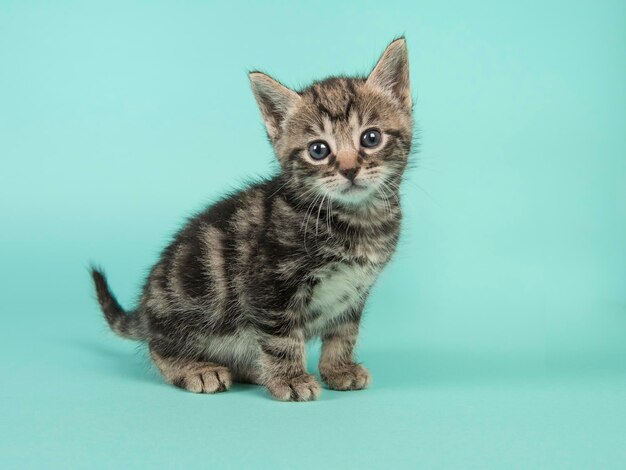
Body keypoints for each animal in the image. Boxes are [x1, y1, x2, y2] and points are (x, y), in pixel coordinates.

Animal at [91, 38, 410, 402]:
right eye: (318, 150)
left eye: (371, 138)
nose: (349, 169)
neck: (356, 220)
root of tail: (146, 308)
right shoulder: (268, 286)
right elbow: (282, 338)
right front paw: (291, 379)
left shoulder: (353, 292)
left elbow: (344, 332)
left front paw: (338, 369)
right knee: (159, 347)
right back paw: (196, 368)